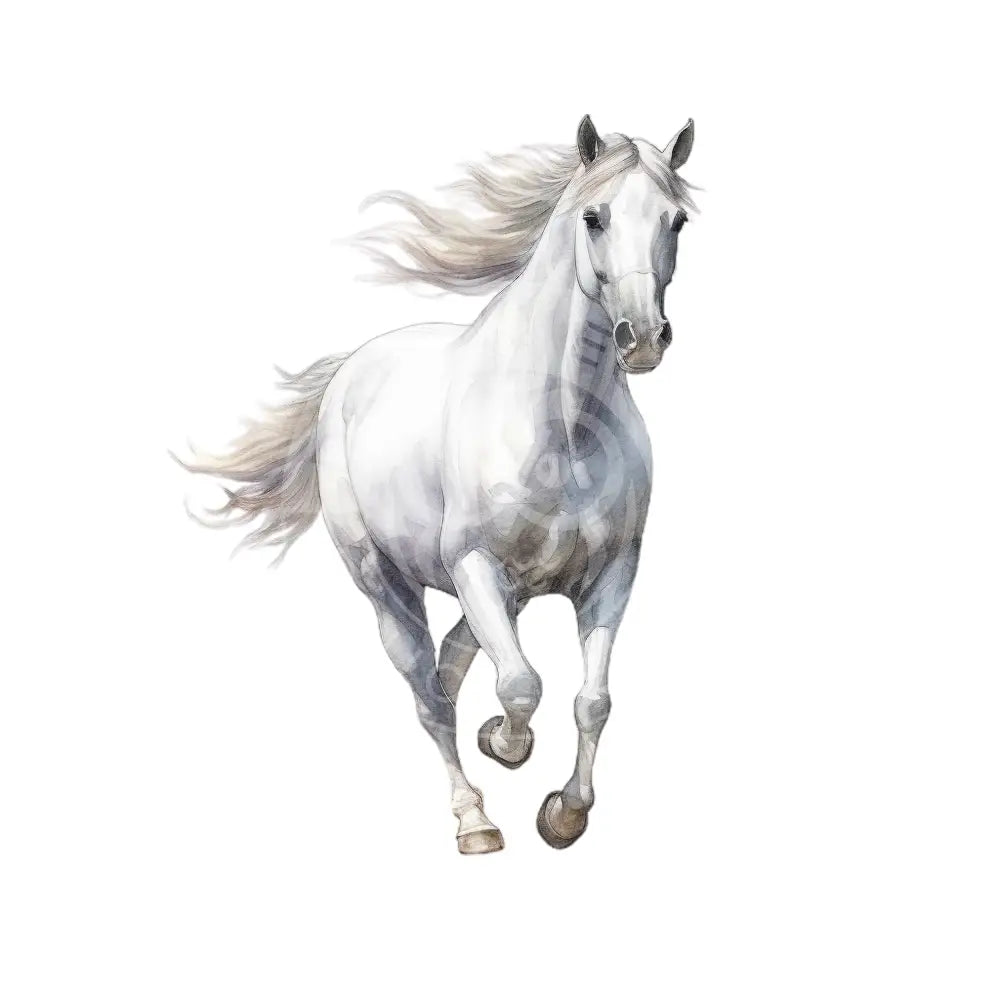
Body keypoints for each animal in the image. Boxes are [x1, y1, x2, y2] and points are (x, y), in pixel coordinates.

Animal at [177, 115, 697, 854]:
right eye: (594, 217)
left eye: (675, 219)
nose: (643, 338)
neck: (563, 429)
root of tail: (351, 370)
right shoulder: (476, 564)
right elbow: (521, 685)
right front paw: (509, 748)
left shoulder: (613, 573)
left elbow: (591, 700)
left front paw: (564, 812)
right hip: (389, 585)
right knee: (428, 690)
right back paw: (473, 820)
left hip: (500, 590)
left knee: (451, 662)